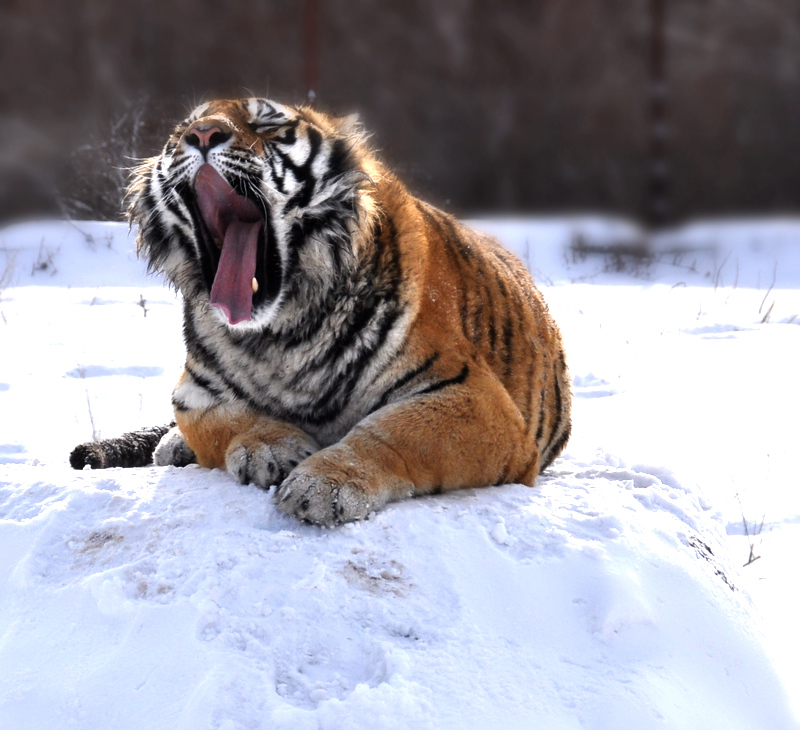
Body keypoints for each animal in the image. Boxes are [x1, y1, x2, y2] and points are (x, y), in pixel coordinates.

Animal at [67, 99, 568, 528]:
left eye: (267, 124)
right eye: (180, 132)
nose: (202, 133)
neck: (277, 335)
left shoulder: (474, 397)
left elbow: (395, 431)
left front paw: (324, 484)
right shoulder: (195, 394)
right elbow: (227, 420)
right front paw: (271, 449)